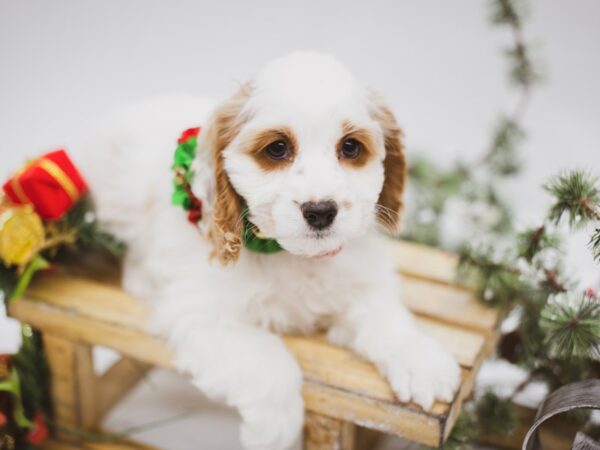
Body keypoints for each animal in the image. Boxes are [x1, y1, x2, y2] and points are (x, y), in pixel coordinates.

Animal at [75, 51, 460, 450]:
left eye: (351, 147)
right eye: (277, 148)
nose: (320, 211)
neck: (294, 258)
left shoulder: (359, 279)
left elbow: (387, 316)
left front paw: (420, 361)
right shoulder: (199, 315)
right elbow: (269, 359)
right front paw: (274, 429)